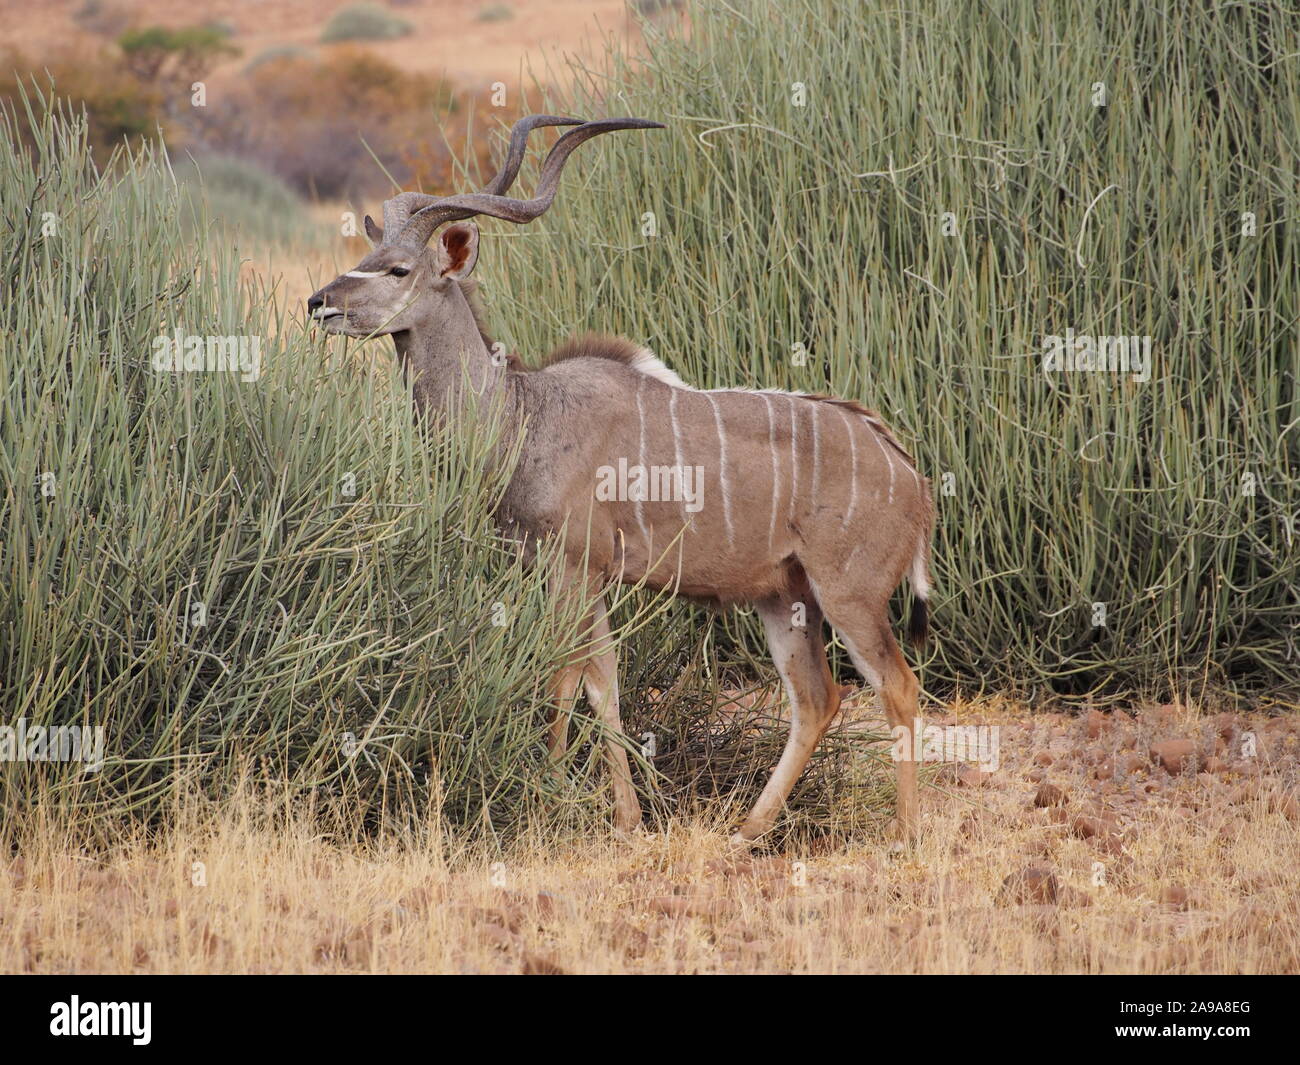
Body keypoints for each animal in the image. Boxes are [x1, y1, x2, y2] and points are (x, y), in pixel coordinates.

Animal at [307, 115, 934, 844]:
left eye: (398, 269)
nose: (319, 302)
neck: (523, 413)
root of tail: (910, 473)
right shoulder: (581, 576)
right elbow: (601, 682)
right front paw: (627, 818)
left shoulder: (574, 567)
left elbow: (563, 677)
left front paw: (547, 798)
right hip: (784, 596)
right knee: (817, 698)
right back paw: (747, 829)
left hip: (848, 592)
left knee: (897, 686)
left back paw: (904, 831)